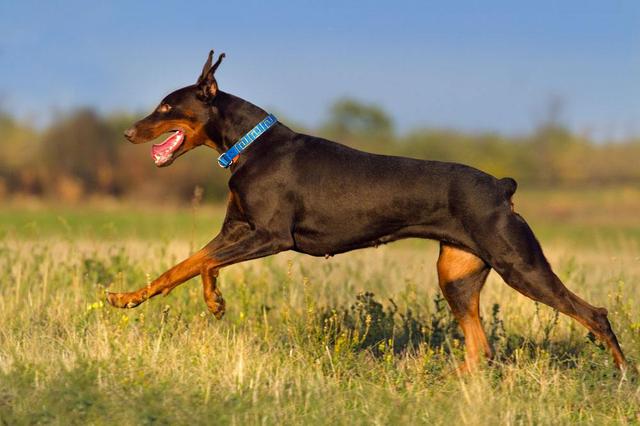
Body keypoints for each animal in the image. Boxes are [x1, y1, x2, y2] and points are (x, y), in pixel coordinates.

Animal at [107, 49, 628, 370]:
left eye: (166, 106)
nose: (128, 133)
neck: (250, 146)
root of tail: (503, 187)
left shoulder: (271, 236)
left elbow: (203, 263)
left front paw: (211, 300)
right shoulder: (238, 229)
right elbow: (187, 264)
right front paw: (131, 298)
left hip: (519, 265)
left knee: (594, 314)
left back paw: (623, 377)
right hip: (457, 275)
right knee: (480, 348)